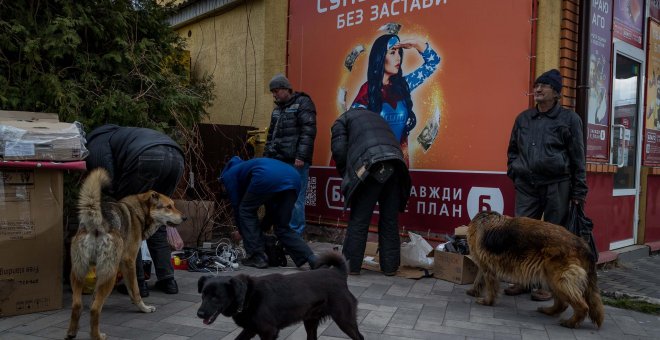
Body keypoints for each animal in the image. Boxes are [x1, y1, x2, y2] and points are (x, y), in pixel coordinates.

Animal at [66, 169, 184, 338]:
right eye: (168, 206)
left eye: (173, 205)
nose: (184, 217)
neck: (139, 212)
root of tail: (96, 223)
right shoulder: (129, 262)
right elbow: (135, 290)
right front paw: (144, 308)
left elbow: (95, 295)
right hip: (110, 273)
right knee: (95, 310)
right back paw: (97, 336)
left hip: (78, 272)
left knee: (77, 305)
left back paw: (72, 332)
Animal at [196, 251, 364, 338]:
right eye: (203, 295)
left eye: (216, 297)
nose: (199, 314)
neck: (248, 295)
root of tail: (339, 274)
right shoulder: (250, 329)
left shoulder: (268, 331)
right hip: (310, 321)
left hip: (344, 319)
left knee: (359, 337)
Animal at [464, 211, 604, 328]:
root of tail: (582, 243)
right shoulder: (484, 266)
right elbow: (479, 279)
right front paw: (474, 291)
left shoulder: (487, 268)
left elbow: (490, 287)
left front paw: (488, 301)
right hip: (551, 278)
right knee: (562, 304)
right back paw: (549, 311)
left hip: (558, 279)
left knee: (582, 306)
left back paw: (571, 323)